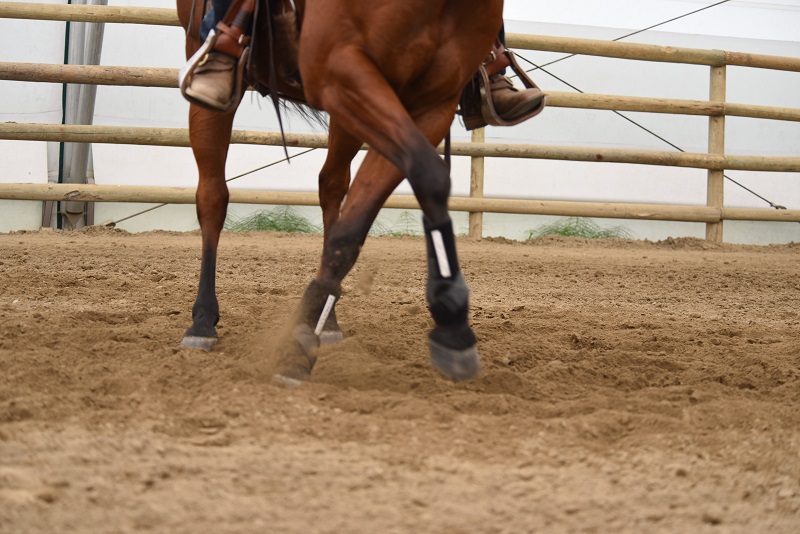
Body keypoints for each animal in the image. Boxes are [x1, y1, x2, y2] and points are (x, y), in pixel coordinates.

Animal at [175, 0, 505, 383]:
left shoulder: (431, 103)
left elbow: (363, 218)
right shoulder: (341, 69)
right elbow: (428, 174)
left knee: (331, 185)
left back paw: (327, 320)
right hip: (211, 75)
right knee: (213, 197)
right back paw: (202, 321)